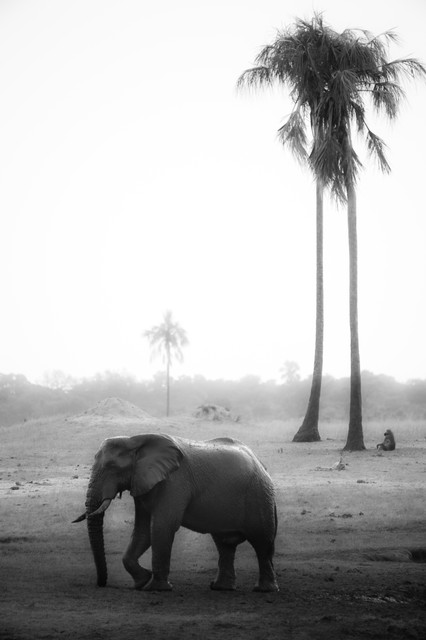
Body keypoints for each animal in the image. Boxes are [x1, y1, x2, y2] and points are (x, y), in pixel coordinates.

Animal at [73, 433, 279, 592]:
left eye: (112, 467)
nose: (102, 585)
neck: (134, 440)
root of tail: (261, 465)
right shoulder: (142, 482)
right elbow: (142, 531)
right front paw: (142, 581)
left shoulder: (174, 482)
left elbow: (162, 526)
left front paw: (155, 588)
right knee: (224, 545)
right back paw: (221, 588)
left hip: (259, 495)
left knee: (262, 542)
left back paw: (264, 590)